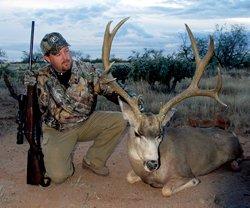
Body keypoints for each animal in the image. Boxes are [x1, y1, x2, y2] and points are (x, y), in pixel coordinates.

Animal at [98, 17, 243, 197]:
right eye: (137, 133)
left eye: (160, 134)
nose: (152, 164)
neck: (153, 175)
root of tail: (233, 134)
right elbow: (129, 177)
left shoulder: (183, 171)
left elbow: (166, 190)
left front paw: (194, 181)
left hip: (236, 152)